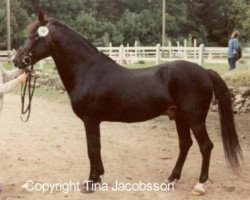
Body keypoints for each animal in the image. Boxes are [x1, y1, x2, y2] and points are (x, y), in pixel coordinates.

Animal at [12, 11, 242, 195]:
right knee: (185, 145)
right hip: (180, 117)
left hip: (195, 118)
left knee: (206, 146)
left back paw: (200, 185)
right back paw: (171, 179)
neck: (88, 71)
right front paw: (98, 177)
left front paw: (91, 182)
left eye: (33, 36)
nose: (17, 60)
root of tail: (204, 71)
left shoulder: (90, 120)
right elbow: (96, 148)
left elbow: (92, 148)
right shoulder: (93, 121)